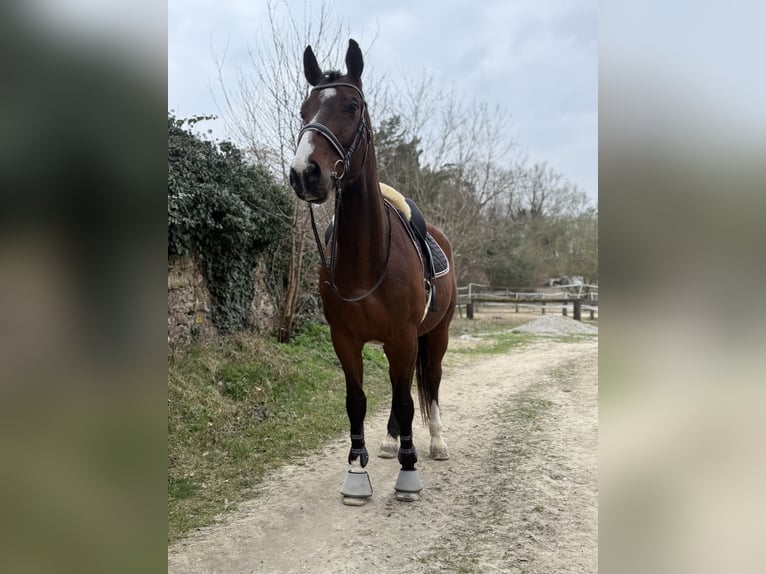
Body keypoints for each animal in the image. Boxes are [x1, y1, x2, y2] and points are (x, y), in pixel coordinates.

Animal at [289, 39, 457, 504]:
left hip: (435, 335)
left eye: (351, 106)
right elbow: (358, 402)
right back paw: (388, 441)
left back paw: (435, 442)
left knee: (430, 382)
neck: (366, 263)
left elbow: (408, 401)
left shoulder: (404, 336)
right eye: (304, 110)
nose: (305, 173)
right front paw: (356, 472)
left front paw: (409, 471)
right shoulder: (345, 339)